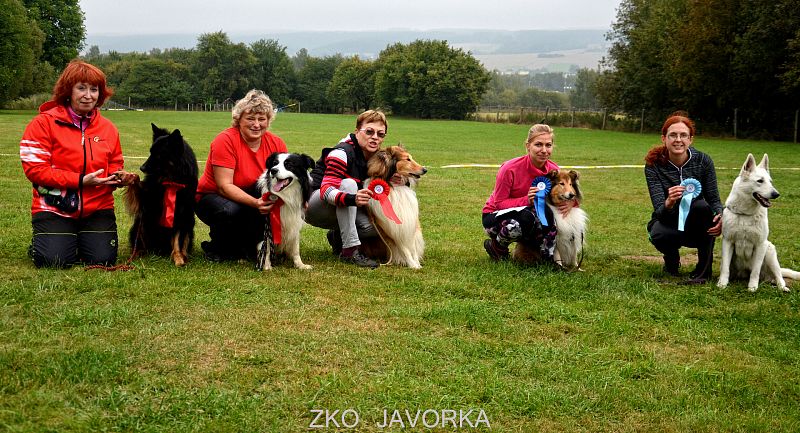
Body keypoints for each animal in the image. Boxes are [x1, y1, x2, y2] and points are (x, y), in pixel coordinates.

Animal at [126, 122, 200, 266]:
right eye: (150, 152)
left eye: (159, 154)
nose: (142, 168)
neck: (170, 180)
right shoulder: (147, 201)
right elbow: (138, 184)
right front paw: (127, 176)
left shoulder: (181, 213)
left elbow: (177, 238)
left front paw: (178, 257)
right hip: (141, 222)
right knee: (141, 241)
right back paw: (138, 253)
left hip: (190, 222)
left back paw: (183, 255)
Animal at [720, 154, 800, 292]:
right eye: (760, 181)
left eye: (770, 181)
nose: (776, 194)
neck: (745, 214)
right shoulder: (727, 242)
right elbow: (725, 268)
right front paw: (722, 284)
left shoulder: (760, 245)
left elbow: (755, 271)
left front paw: (752, 287)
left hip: (769, 251)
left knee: (779, 276)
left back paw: (782, 287)